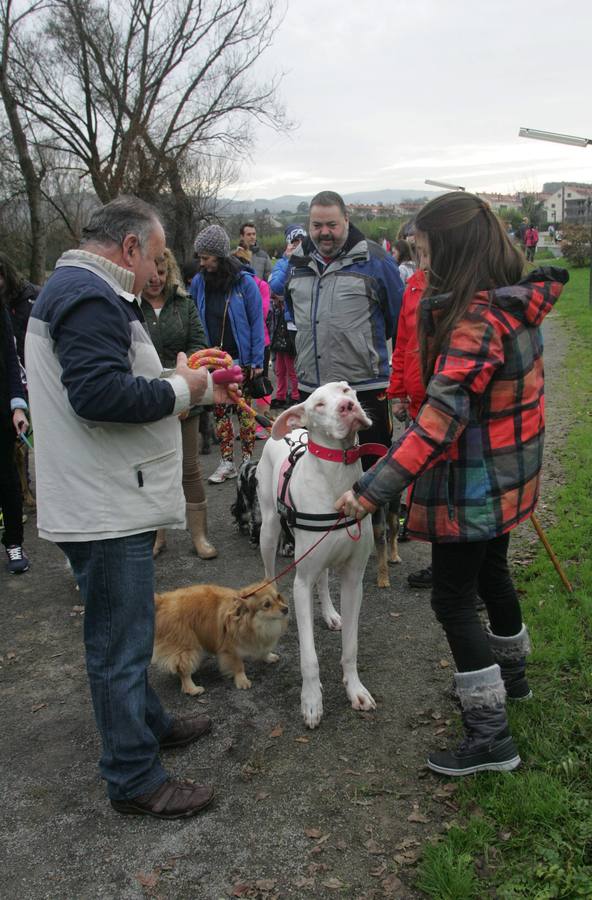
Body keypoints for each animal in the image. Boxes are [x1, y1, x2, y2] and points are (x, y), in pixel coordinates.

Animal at [153, 580, 290, 700]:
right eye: (267, 605)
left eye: (278, 597)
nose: (286, 609)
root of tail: (163, 601)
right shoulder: (231, 649)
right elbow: (238, 666)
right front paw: (242, 680)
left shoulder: (261, 639)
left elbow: (264, 650)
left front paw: (269, 657)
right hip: (186, 646)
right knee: (183, 669)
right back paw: (192, 689)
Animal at [256, 384, 376, 728]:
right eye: (319, 404)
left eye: (347, 389)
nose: (348, 406)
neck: (336, 475)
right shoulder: (300, 583)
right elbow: (309, 657)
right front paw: (311, 701)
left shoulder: (353, 580)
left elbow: (351, 646)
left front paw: (355, 689)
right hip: (269, 529)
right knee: (269, 571)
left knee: (322, 580)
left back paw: (330, 613)